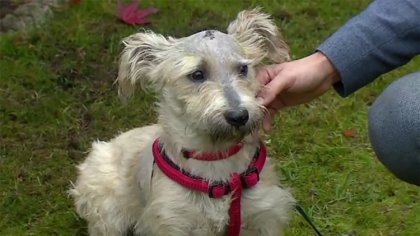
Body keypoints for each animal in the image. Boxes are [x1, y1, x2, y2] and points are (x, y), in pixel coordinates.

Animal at [69, 8, 296, 235]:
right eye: (197, 74)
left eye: (243, 69)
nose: (239, 116)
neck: (216, 164)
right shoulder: (173, 222)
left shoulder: (262, 217)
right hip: (107, 213)